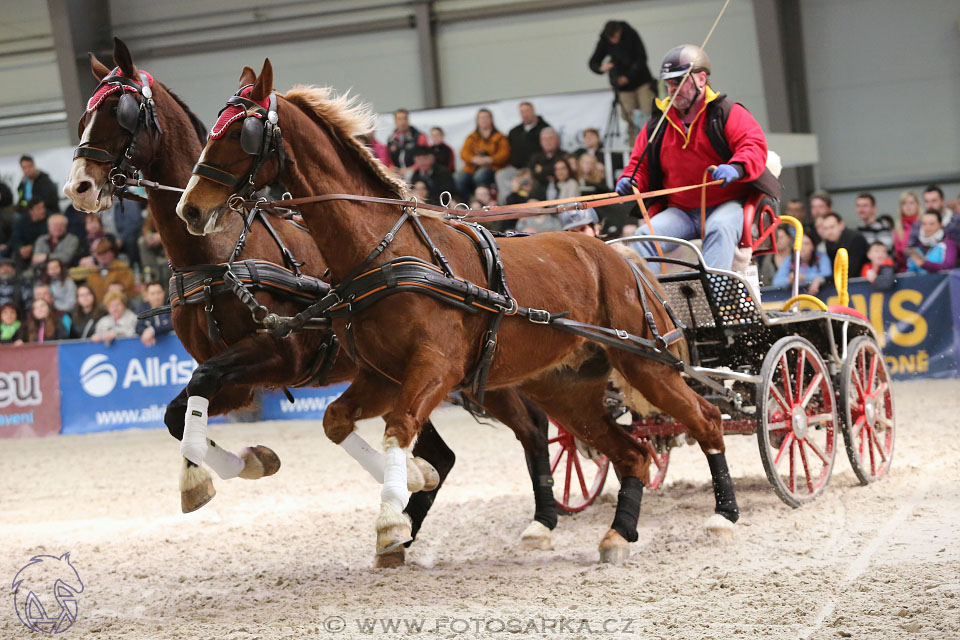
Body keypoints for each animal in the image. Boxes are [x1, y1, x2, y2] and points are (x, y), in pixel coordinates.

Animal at [62, 41, 564, 560]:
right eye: (84, 117)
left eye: (120, 113)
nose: (79, 187)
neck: (219, 253)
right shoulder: (237, 382)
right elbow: (177, 415)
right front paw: (242, 464)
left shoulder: (276, 356)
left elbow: (195, 394)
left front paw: (210, 476)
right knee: (442, 456)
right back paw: (406, 520)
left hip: (480, 370)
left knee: (530, 428)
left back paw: (541, 520)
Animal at [176, 60, 740, 564]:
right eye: (214, 128)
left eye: (242, 132)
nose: (190, 208)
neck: (386, 250)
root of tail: (620, 257)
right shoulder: (382, 375)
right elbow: (338, 420)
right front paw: (407, 493)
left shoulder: (437, 368)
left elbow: (399, 426)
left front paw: (390, 523)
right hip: (566, 388)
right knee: (632, 453)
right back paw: (619, 533)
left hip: (645, 364)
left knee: (707, 420)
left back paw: (723, 516)